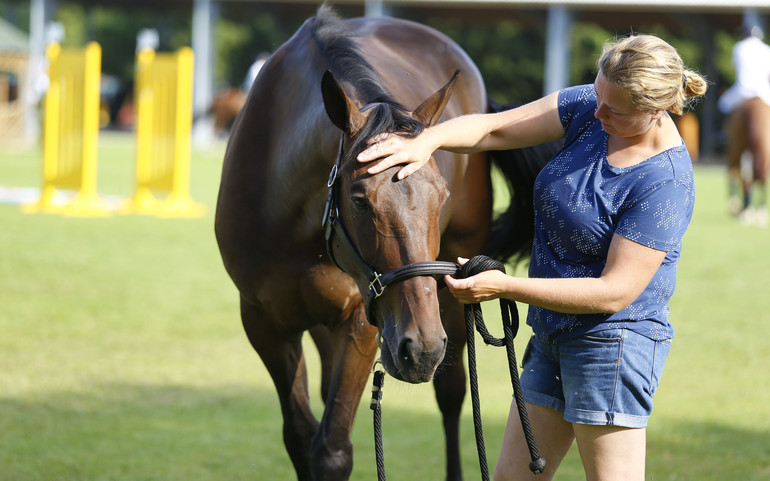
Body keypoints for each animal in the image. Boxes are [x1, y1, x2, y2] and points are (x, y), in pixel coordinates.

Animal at [213, 5, 556, 478]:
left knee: (452, 393)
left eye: (441, 196)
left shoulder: (360, 320)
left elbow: (332, 448)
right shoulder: (265, 323)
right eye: (359, 199)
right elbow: (301, 437)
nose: (422, 347)